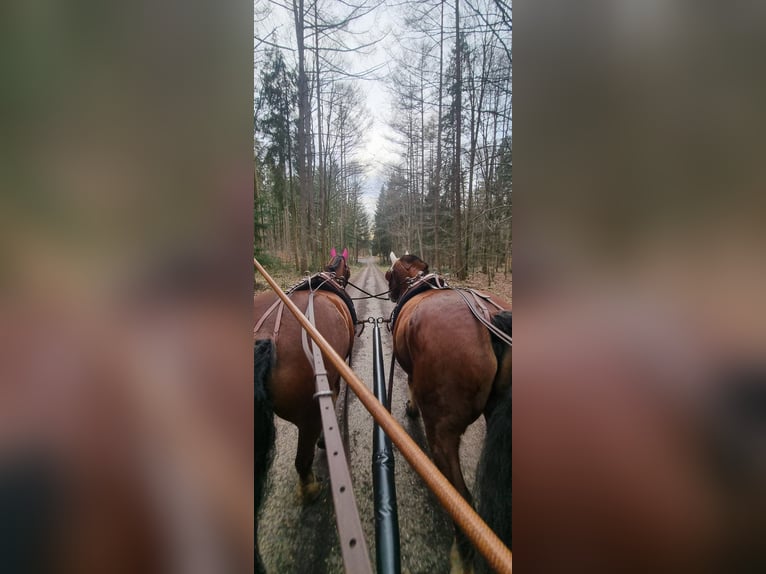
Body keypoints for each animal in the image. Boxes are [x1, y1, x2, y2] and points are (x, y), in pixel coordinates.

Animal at [384, 252, 512, 571]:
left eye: (388, 275)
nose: (391, 295)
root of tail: (490, 319)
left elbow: (411, 384)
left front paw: (411, 408)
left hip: (442, 432)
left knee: (462, 500)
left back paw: (462, 555)